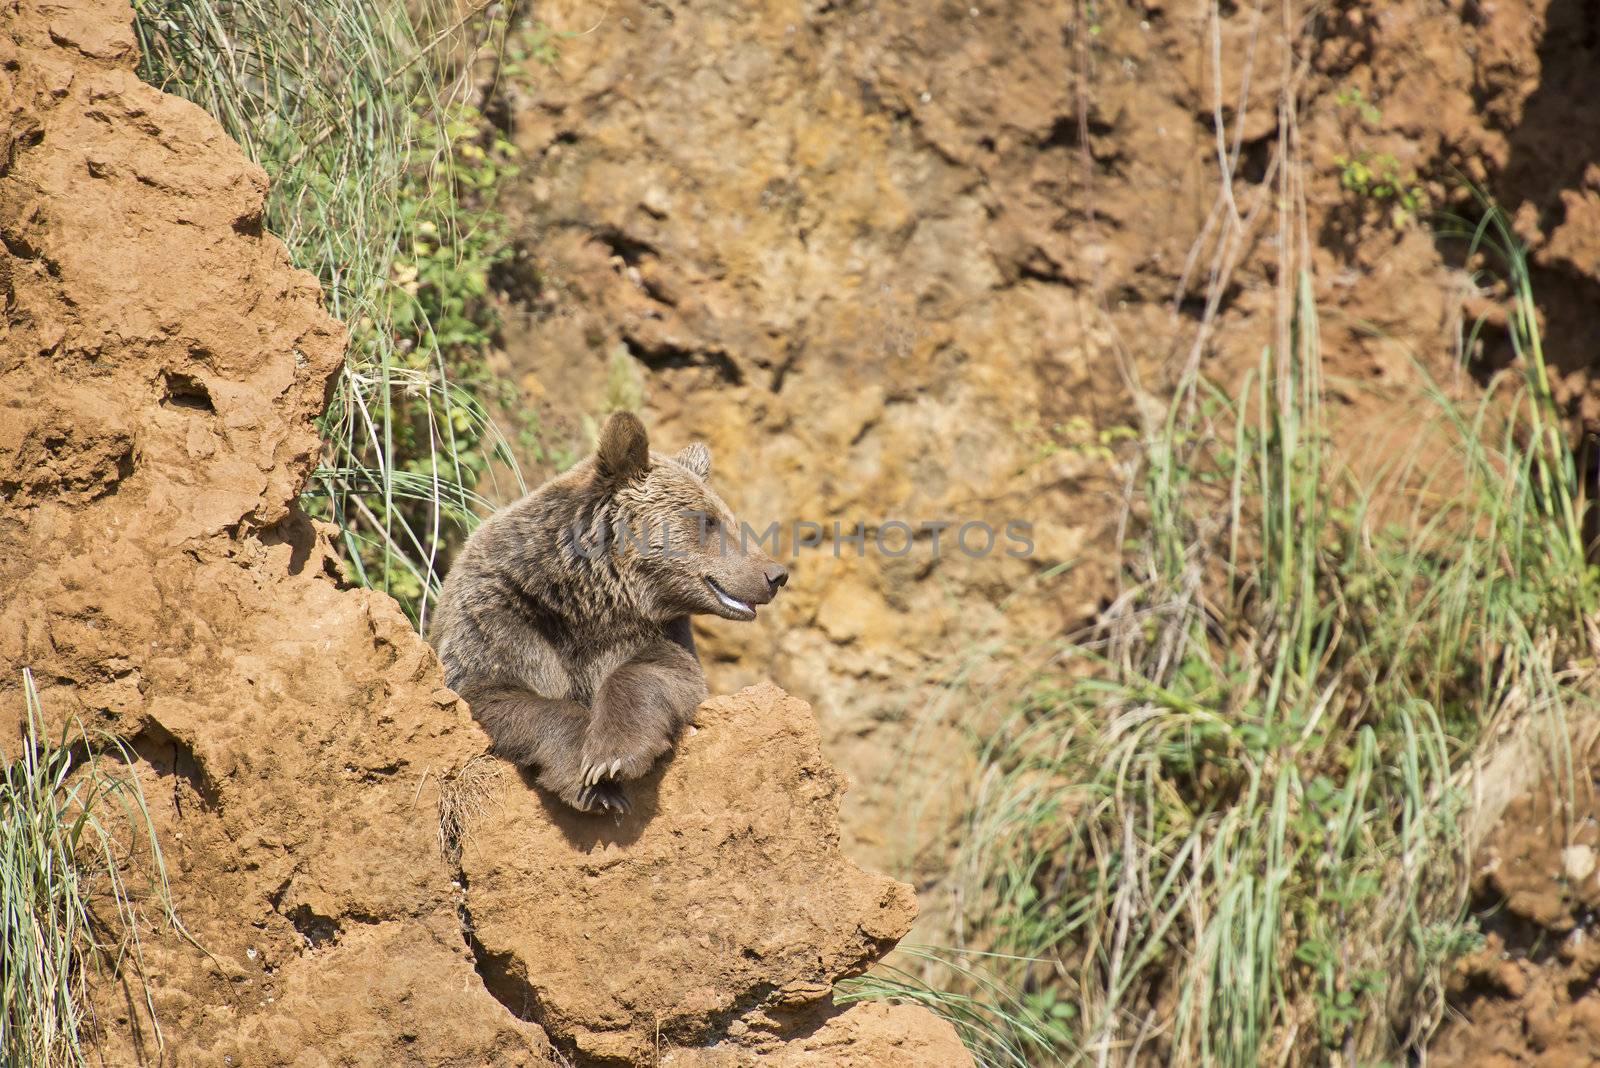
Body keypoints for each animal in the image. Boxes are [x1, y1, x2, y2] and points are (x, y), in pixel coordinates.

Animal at [432, 412, 787, 812]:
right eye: (708, 520)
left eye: (728, 519)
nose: (775, 575)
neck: (590, 598)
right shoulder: (504, 613)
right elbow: (496, 688)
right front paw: (595, 784)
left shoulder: (653, 630)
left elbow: (658, 673)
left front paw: (610, 758)